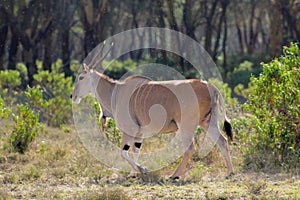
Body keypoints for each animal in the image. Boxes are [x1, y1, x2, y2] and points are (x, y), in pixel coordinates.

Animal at [71, 43, 234, 178]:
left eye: (81, 77)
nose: (73, 96)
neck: (116, 91)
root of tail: (209, 86)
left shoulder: (128, 131)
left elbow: (123, 153)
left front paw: (142, 170)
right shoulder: (139, 134)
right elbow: (135, 151)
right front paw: (133, 173)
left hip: (186, 126)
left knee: (190, 148)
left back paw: (175, 175)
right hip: (207, 122)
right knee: (222, 141)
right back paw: (229, 172)